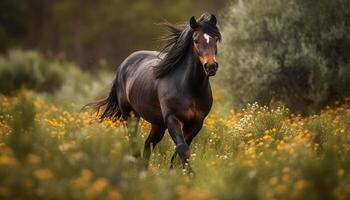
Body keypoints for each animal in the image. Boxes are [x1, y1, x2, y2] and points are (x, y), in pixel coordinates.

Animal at [89, 13, 223, 171]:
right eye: (196, 40)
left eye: (216, 39)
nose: (211, 66)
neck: (189, 87)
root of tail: (124, 64)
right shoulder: (172, 119)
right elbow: (182, 148)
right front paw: (189, 174)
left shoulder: (197, 122)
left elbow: (181, 150)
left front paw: (174, 171)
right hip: (131, 115)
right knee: (134, 142)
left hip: (158, 124)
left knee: (149, 144)